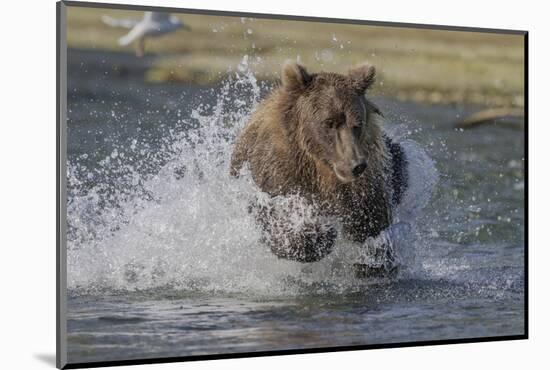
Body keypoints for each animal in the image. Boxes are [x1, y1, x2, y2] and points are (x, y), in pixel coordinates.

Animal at [231, 60, 408, 274]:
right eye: (329, 122)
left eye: (357, 124)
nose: (356, 165)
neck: (320, 168)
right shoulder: (278, 171)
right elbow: (275, 214)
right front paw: (319, 235)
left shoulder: (367, 180)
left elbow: (371, 220)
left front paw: (372, 259)